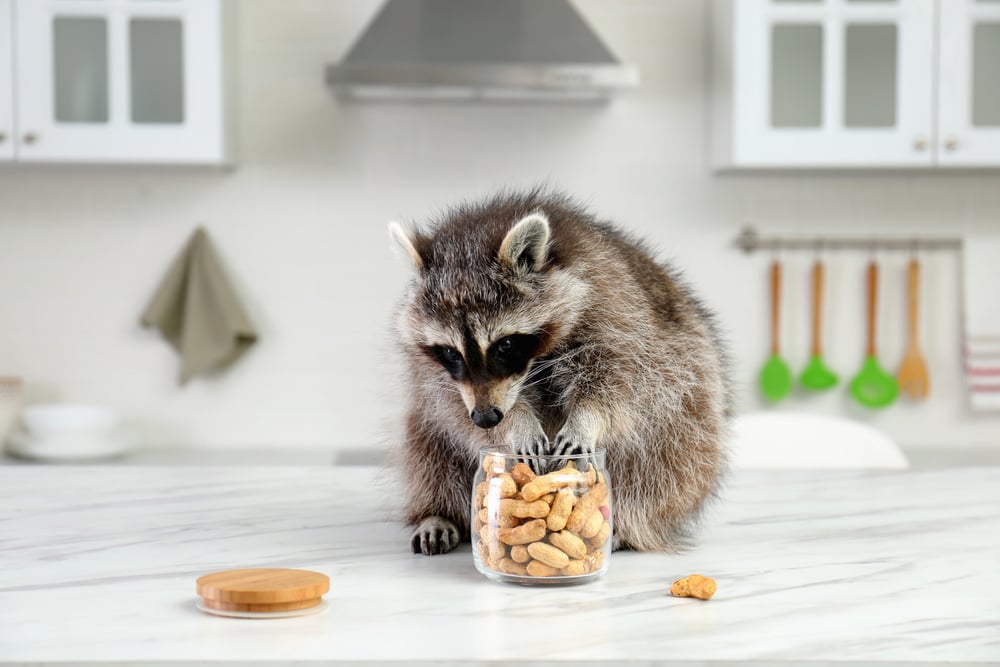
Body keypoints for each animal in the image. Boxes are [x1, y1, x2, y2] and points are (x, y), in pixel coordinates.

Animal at [389, 190, 730, 555]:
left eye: (505, 345)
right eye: (450, 352)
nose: (486, 417)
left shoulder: (616, 307)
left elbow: (622, 376)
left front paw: (586, 418)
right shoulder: (435, 375)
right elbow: (450, 407)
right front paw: (517, 422)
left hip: (692, 411)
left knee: (666, 465)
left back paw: (628, 525)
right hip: (426, 426)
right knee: (428, 447)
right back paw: (437, 513)